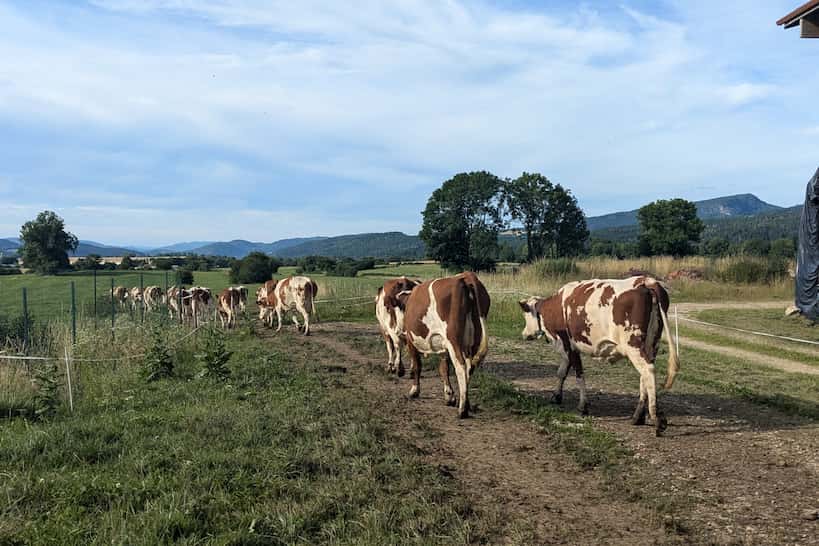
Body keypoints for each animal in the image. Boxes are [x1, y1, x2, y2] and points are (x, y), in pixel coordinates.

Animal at [398, 272, 490, 419]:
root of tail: (466, 276)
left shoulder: (411, 341)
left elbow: (417, 366)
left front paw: (414, 391)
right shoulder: (443, 347)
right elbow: (444, 368)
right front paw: (449, 396)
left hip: (453, 339)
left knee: (461, 367)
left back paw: (462, 410)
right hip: (473, 341)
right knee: (470, 368)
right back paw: (466, 403)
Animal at [518, 276, 680, 437]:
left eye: (525, 316)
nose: (524, 334)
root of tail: (648, 281)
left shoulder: (568, 345)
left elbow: (579, 375)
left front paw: (582, 406)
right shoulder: (568, 348)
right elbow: (562, 372)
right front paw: (556, 396)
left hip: (633, 345)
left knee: (648, 371)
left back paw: (656, 418)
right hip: (652, 344)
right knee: (644, 376)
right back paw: (638, 416)